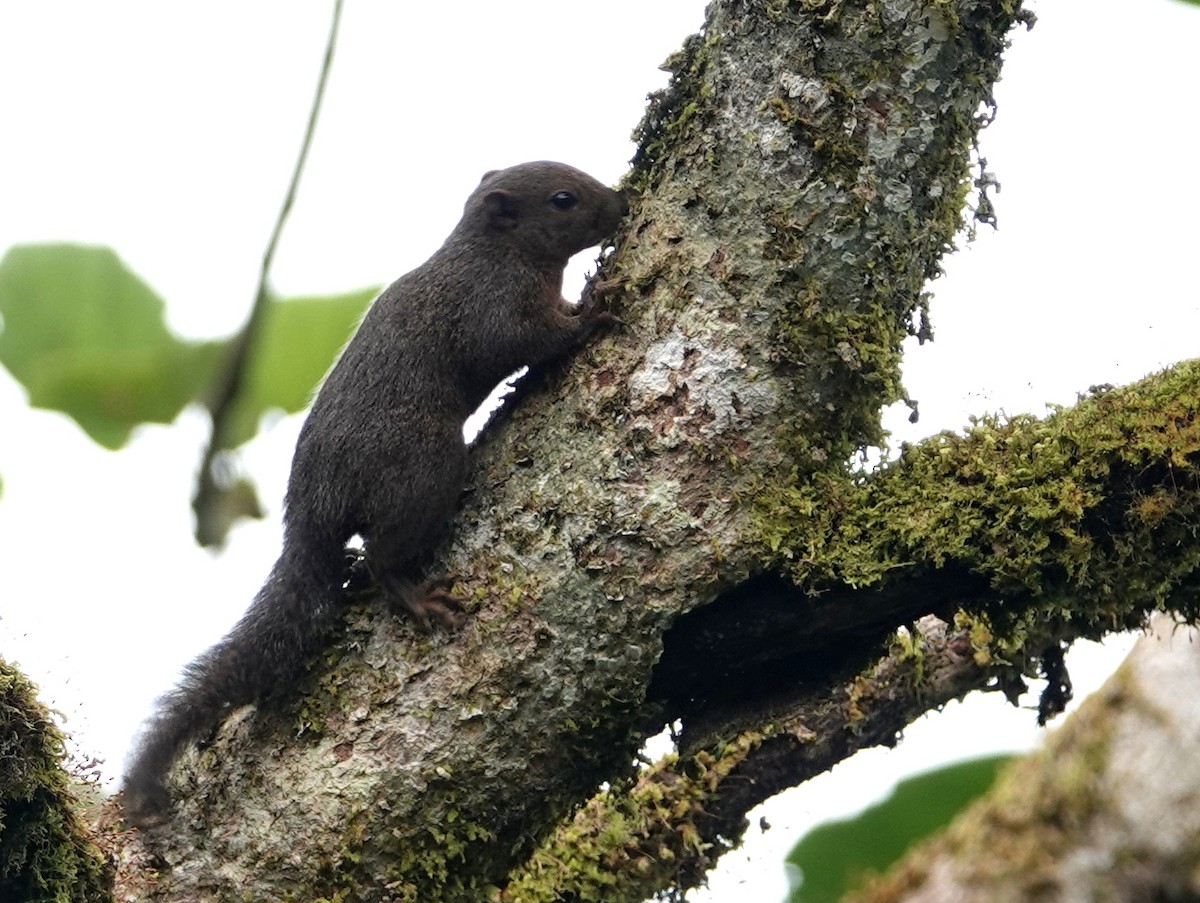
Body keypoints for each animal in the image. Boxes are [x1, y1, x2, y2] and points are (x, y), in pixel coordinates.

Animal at [122, 161, 628, 828]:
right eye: (563, 199)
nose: (621, 203)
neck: (491, 252)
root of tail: (310, 514)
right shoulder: (489, 307)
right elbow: (529, 340)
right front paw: (592, 310)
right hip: (424, 471)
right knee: (385, 554)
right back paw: (414, 594)